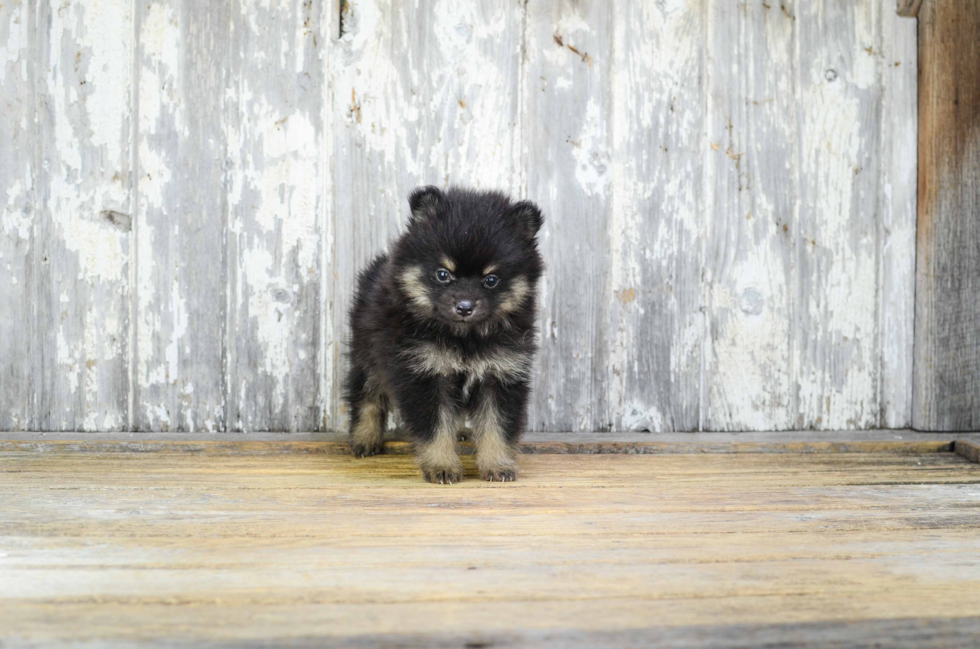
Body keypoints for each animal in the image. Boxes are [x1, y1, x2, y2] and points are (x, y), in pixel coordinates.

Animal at [342, 185, 544, 484]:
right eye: (443, 274)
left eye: (491, 280)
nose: (465, 307)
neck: (464, 337)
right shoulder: (423, 373)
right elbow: (434, 427)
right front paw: (441, 466)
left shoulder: (501, 374)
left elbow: (497, 426)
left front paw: (497, 465)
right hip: (367, 352)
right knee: (366, 394)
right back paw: (364, 439)